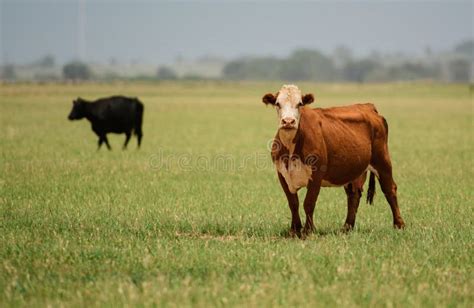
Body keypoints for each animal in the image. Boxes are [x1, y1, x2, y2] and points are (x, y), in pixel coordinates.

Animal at [262, 84, 404, 238]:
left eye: (299, 103)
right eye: (277, 103)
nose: (288, 121)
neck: (291, 149)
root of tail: (368, 106)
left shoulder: (316, 174)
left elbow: (308, 203)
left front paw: (308, 231)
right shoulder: (282, 174)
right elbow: (293, 203)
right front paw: (294, 230)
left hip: (382, 160)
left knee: (390, 189)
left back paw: (399, 225)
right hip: (354, 170)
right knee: (354, 194)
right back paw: (347, 227)